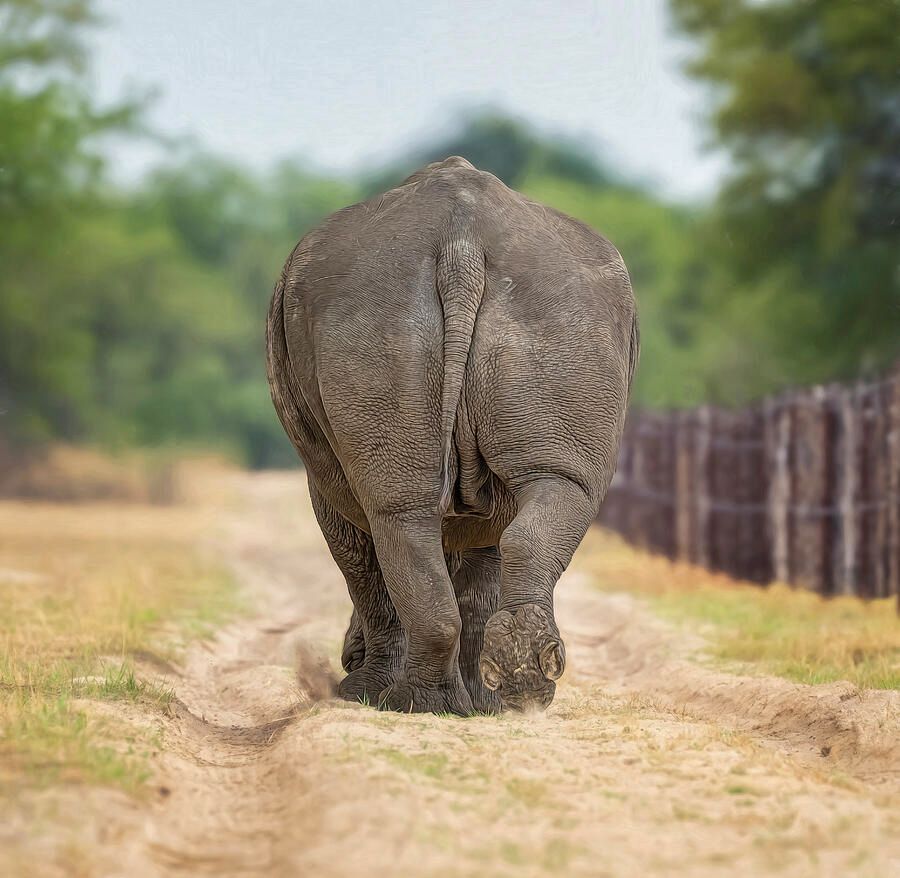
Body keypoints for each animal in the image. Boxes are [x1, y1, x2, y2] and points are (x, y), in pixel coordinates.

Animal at [266, 156, 638, 714]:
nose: (348, 656)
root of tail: (461, 240)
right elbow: (477, 575)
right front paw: (482, 701)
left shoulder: (324, 481)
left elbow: (363, 566)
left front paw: (363, 693)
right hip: (560, 315)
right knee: (557, 488)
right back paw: (519, 687)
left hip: (378, 310)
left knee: (398, 514)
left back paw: (410, 703)